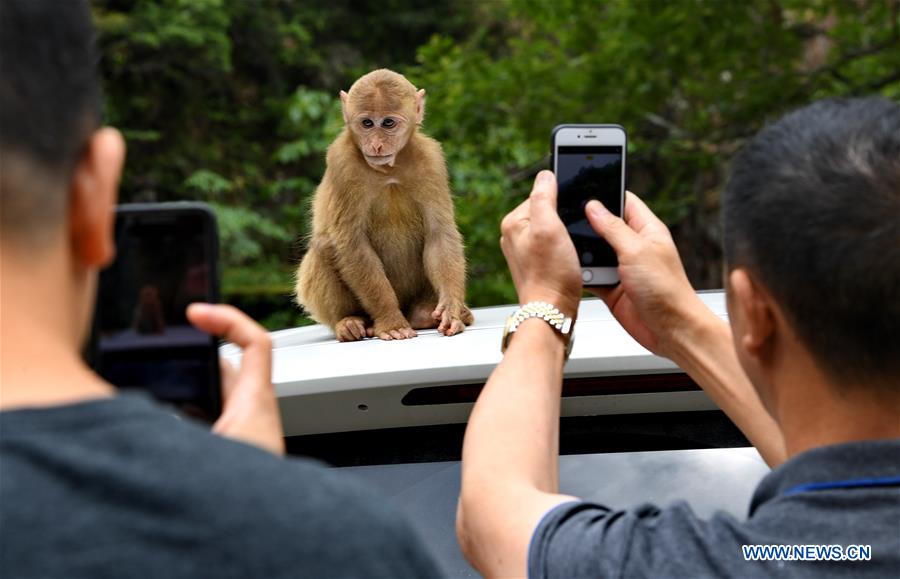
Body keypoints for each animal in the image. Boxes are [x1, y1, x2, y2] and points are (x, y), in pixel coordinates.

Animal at [295, 69, 474, 342]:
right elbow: (351, 242)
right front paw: (390, 321)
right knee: (325, 245)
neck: (388, 169)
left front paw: (451, 310)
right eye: (367, 123)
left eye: (388, 123)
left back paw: (427, 314)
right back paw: (349, 321)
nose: (377, 144)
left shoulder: (431, 160)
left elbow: (439, 233)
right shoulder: (342, 163)